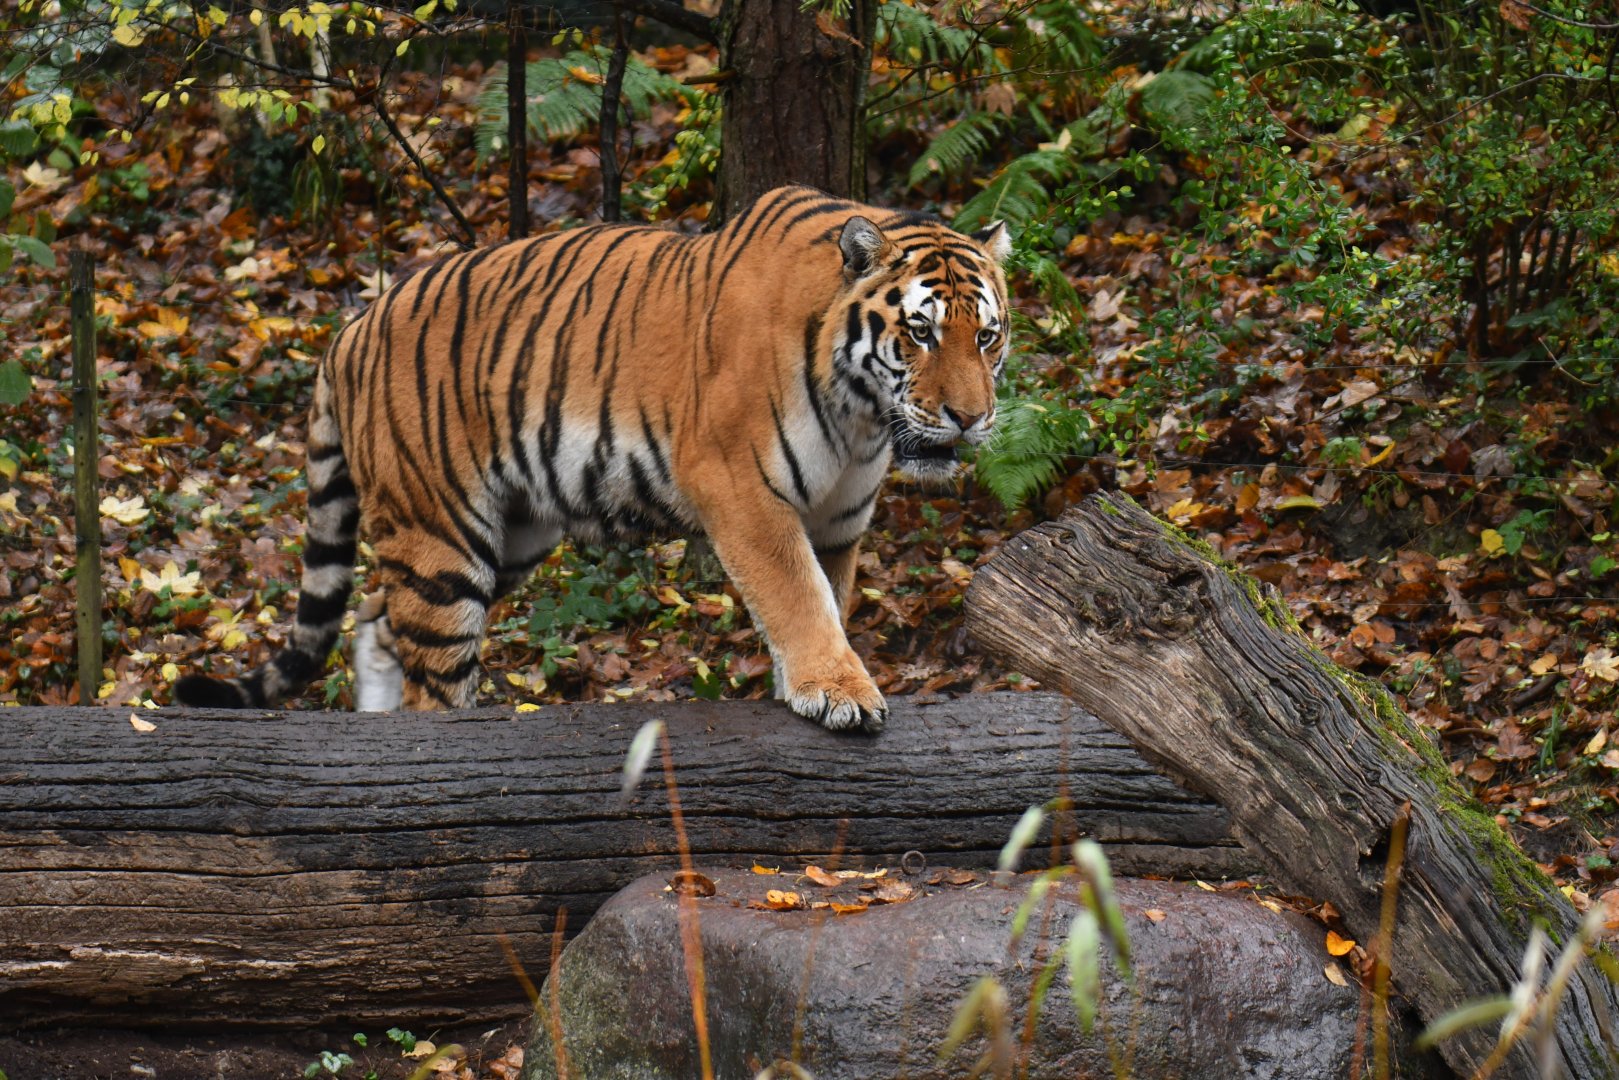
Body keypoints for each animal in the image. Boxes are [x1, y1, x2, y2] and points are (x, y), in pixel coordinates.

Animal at [174, 185, 1012, 732]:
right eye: (920, 332)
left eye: (987, 337)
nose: (970, 419)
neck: (861, 415)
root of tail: (350, 330)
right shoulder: (740, 488)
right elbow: (796, 596)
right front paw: (837, 691)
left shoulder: (836, 520)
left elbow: (826, 596)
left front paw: (800, 686)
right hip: (441, 536)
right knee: (431, 682)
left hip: (509, 534)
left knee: (378, 620)